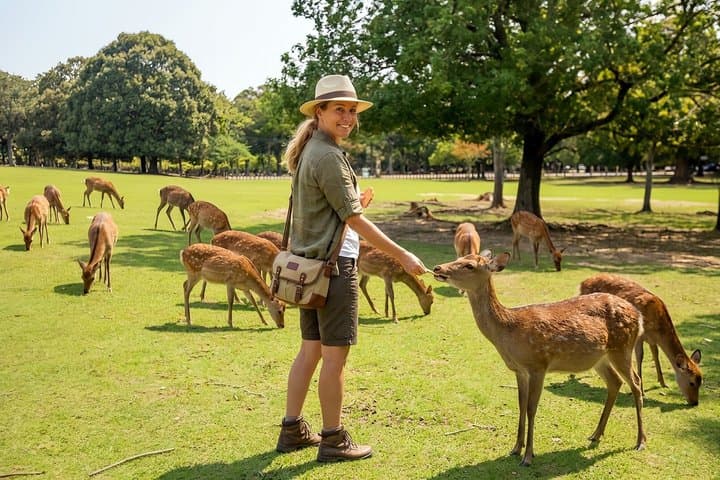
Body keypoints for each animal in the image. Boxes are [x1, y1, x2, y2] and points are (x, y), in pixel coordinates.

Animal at [432, 251, 646, 466]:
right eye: (458, 257)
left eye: (469, 265)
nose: (437, 268)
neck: (509, 330)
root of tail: (639, 316)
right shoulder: (519, 370)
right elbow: (520, 405)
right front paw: (515, 448)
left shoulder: (538, 365)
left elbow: (531, 408)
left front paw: (528, 456)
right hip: (600, 358)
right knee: (615, 382)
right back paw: (595, 434)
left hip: (622, 348)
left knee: (636, 382)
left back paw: (640, 441)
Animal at [580, 273, 703, 405]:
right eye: (691, 382)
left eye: (701, 381)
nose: (695, 402)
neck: (657, 326)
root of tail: (583, 282)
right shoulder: (640, 336)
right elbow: (640, 356)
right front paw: (642, 391)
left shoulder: (652, 339)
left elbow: (655, 354)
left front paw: (663, 383)